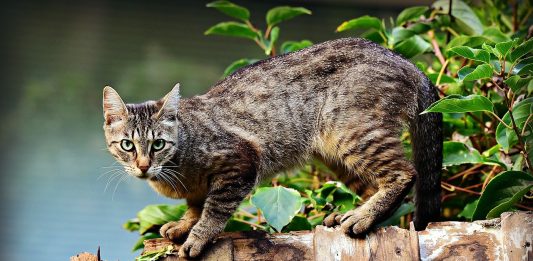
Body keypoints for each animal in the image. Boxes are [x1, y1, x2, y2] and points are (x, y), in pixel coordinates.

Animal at [103, 37, 440, 256]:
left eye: (158, 144)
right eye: (127, 145)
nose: (143, 166)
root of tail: (406, 62)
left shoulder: (240, 162)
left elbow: (214, 209)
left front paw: (197, 237)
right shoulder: (198, 189)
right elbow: (195, 206)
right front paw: (184, 225)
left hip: (352, 132)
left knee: (405, 173)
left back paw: (362, 217)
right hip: (334, 154)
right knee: (372, 184)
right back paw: (351, 214)